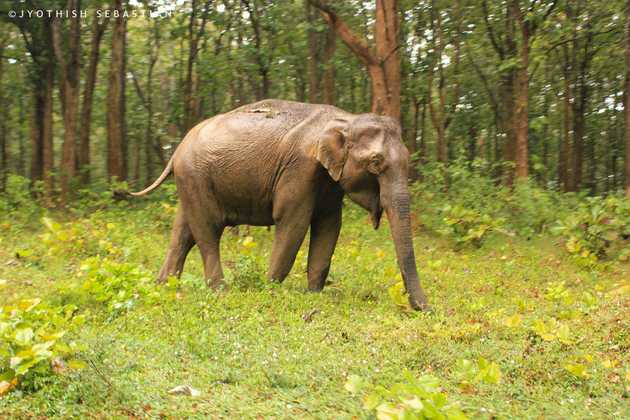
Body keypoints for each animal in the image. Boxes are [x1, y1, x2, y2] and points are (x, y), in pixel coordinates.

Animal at [131, 98, 432, 308]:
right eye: (375, 162)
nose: (425, 309)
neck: (346, 119)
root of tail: (177, 149)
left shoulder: (328, 182)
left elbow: (329, 226)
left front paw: (314, 294)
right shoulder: (299, 169)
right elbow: (292, 223)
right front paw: (269, 288)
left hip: (190, 182)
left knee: (183, 233)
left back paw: (163, 285)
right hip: (195, 176)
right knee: (207, 230)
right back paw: (220, 289)